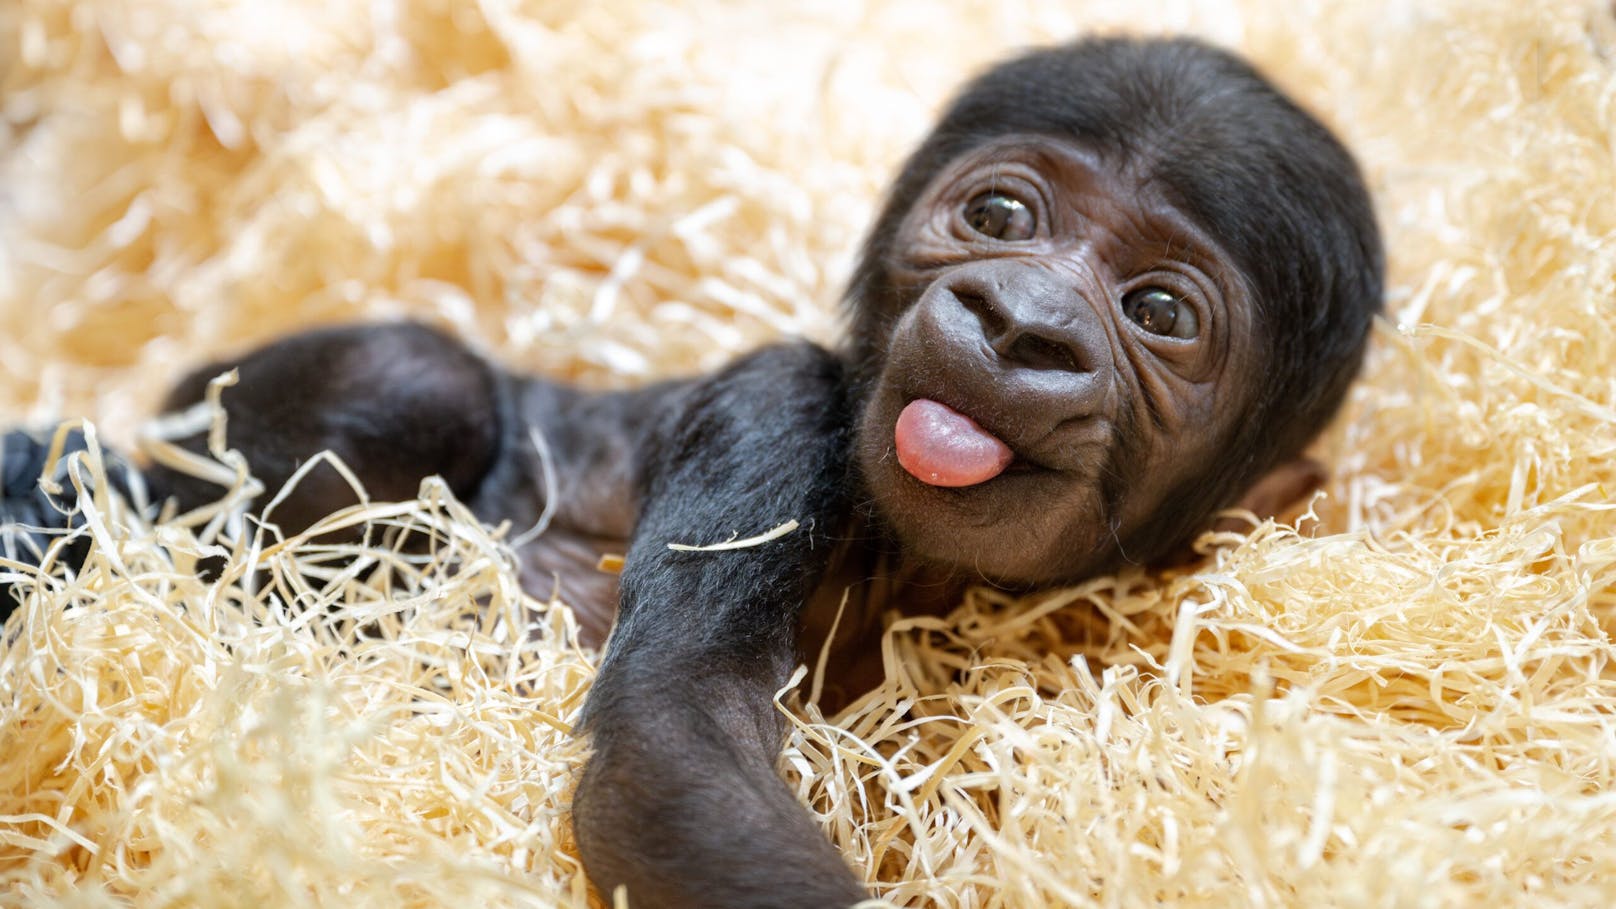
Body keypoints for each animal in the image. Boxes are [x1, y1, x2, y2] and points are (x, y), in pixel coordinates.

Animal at [6, 35, 1383, 905]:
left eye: (1157, 310)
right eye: (999, 219)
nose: (1016, 321)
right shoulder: (778, 408)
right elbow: (672, 748)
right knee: (404, 374)